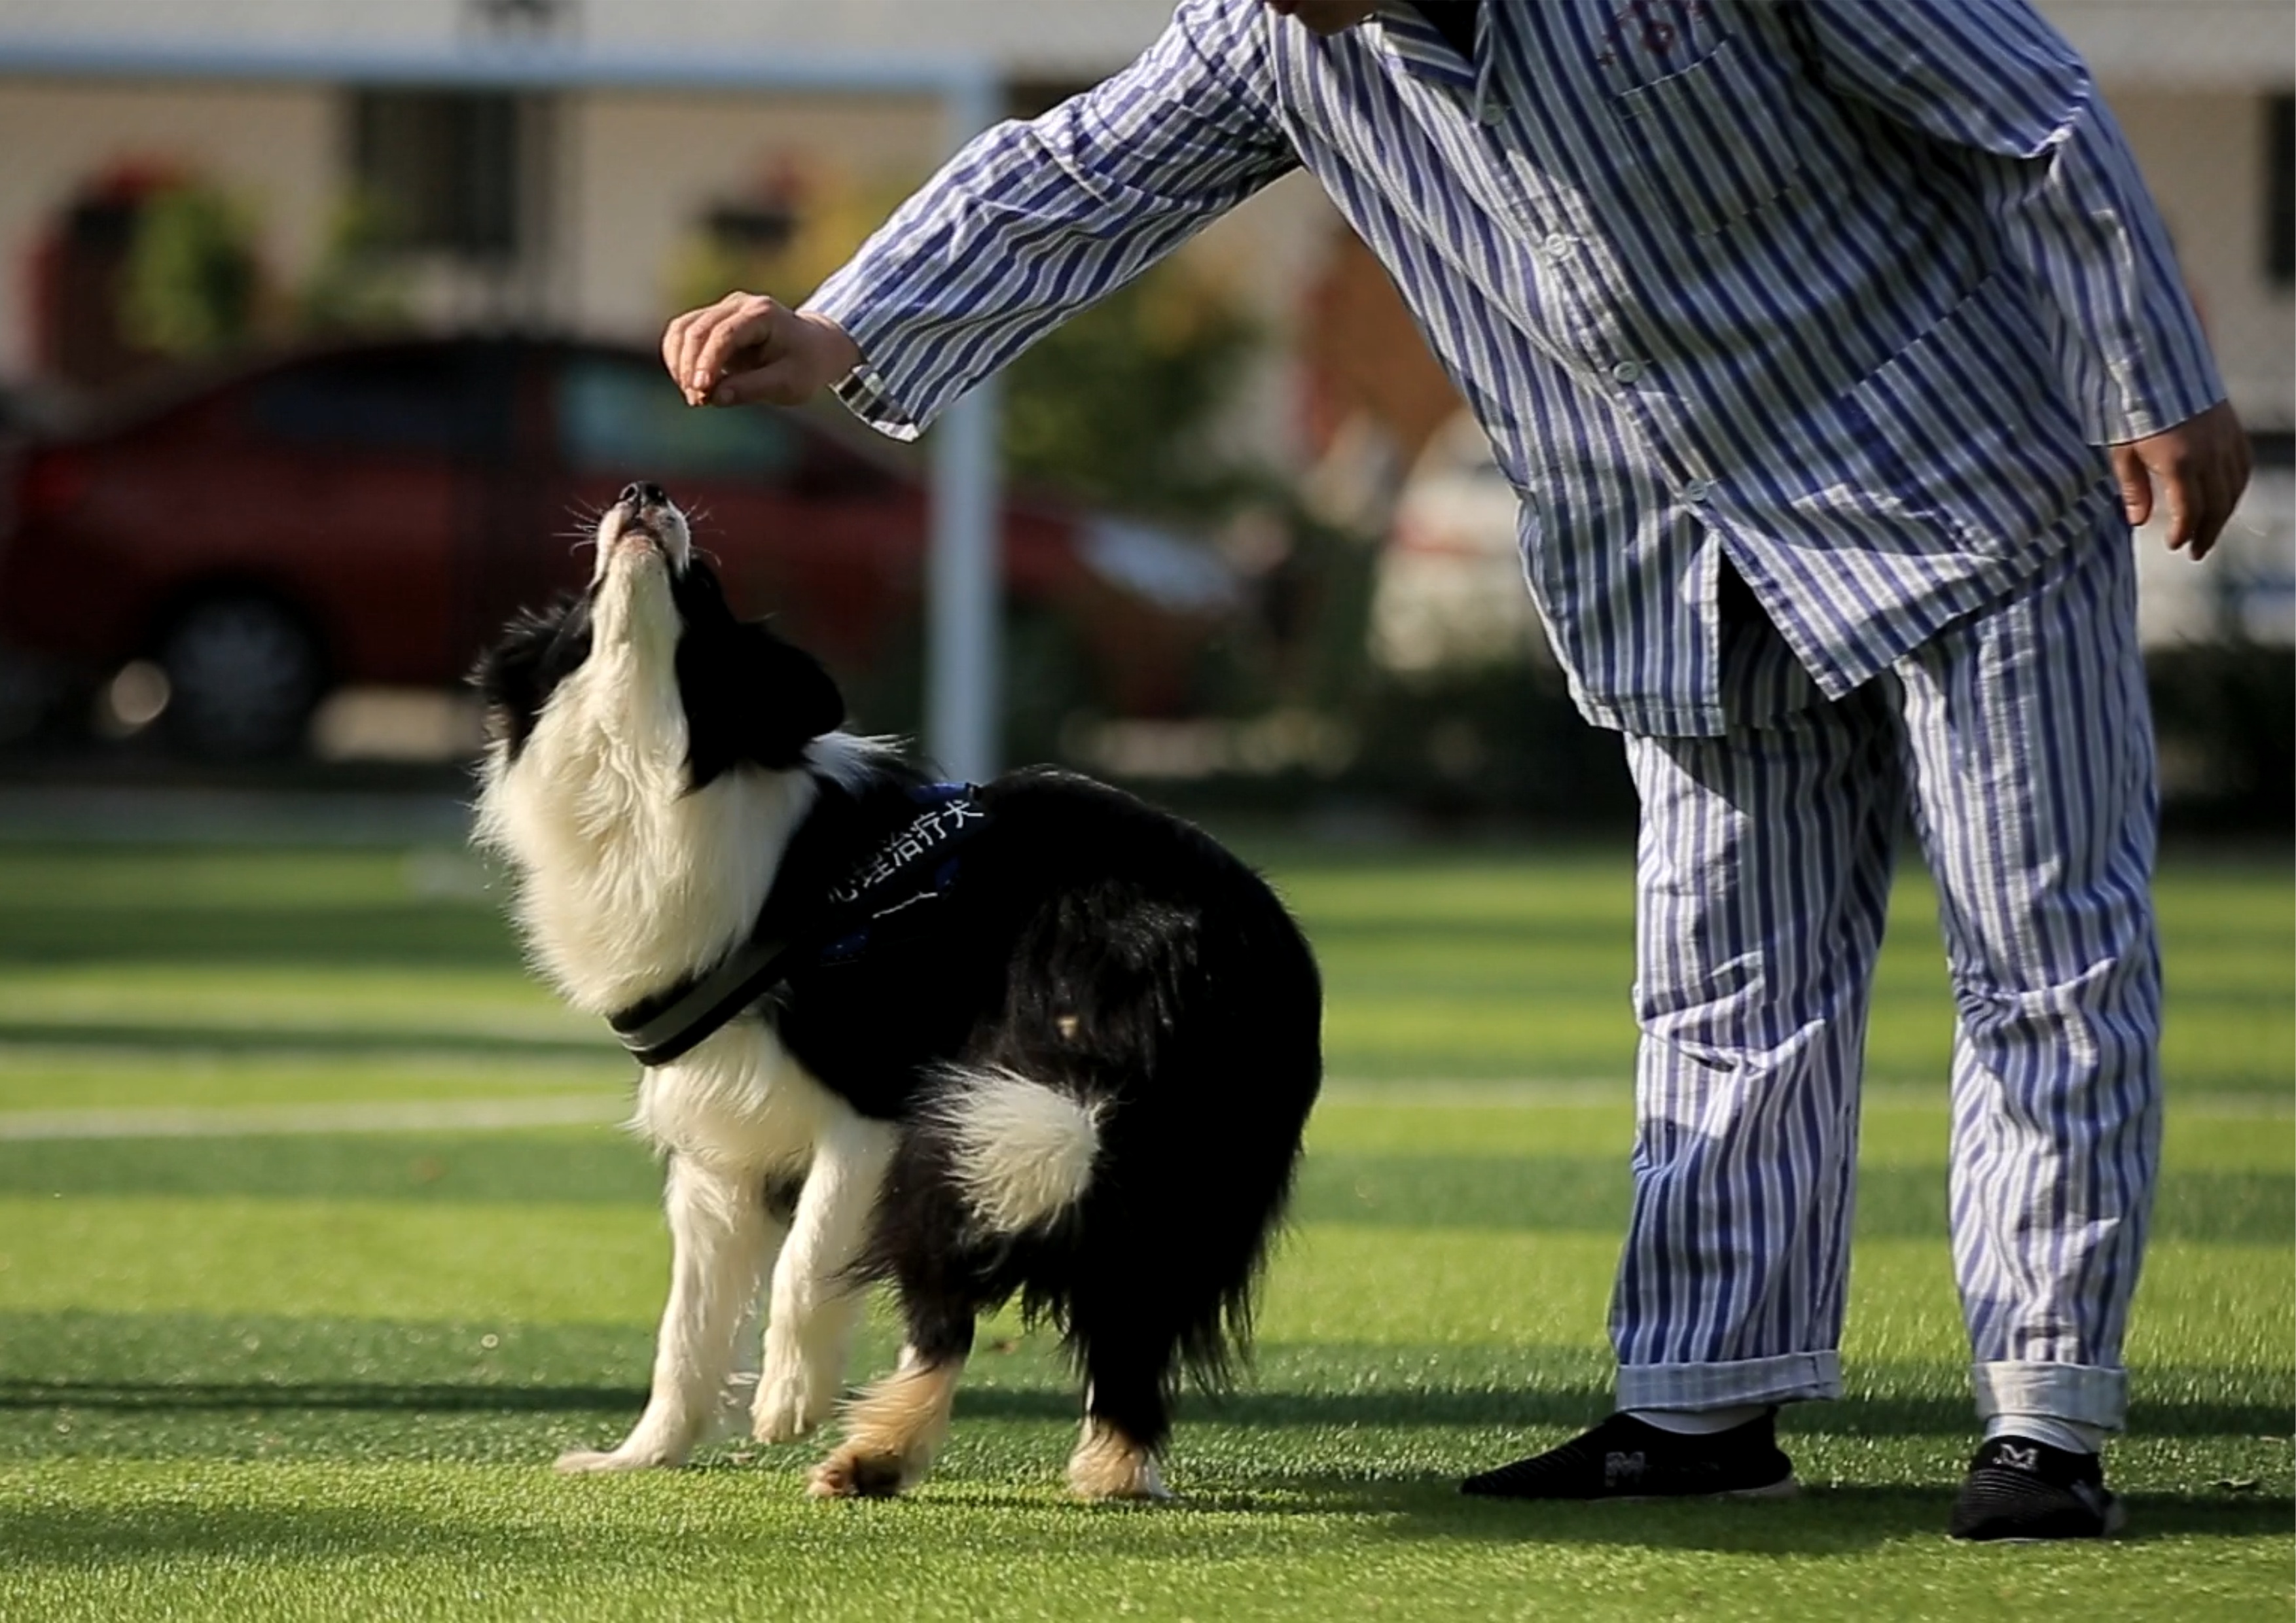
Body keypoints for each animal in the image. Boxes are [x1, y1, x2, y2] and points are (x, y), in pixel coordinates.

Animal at [475, 482, 1322, 1497]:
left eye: (704, 588)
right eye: (584, 601)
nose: (647, 493)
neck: (656, 767)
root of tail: (1207, 949)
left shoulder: (870, 1106)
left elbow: (806, 1259)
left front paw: (787, 1400)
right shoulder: (720, 1144)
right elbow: (687, 1324)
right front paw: (641, 1455)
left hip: (996, 1116)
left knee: (953, 1301)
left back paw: (874, 1452)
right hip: (1150, 1156)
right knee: (1126, 1312)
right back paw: (1103, 1467)